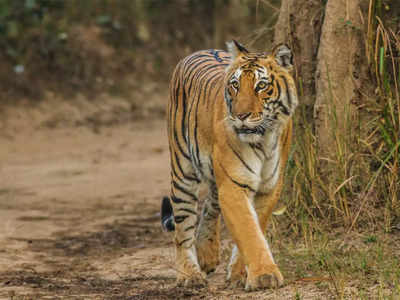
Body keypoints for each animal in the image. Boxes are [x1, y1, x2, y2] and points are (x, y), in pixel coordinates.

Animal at [162, 40, 296, 290]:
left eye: (261, 85)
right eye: (235, 85)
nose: (240, 116)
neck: (263, 140)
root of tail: (199, 51)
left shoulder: (269, 187)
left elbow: (256, 226)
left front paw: (239, 273)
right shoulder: (234, 186)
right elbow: (248, 230)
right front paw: (264, 276)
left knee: (209, 205)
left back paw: (207, 254)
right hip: (183, 170)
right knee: (183, 229)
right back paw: (189, 275)